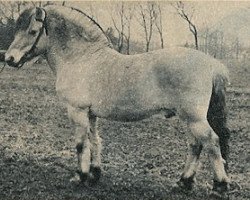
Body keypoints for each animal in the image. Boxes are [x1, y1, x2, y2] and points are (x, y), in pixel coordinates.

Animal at [4, 5, 230, 197]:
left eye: (33, 31)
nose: (9, 59)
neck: (81, 58)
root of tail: (211, 64)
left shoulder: (77, 111)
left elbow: (80, 144)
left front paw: (80, 177)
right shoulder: (91, 114)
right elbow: (95, 141)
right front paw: (94, 175)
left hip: (194, 118)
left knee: (211, 142)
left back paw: (219, 185)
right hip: (188, 118)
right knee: (195, 145)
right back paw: (184, 182)